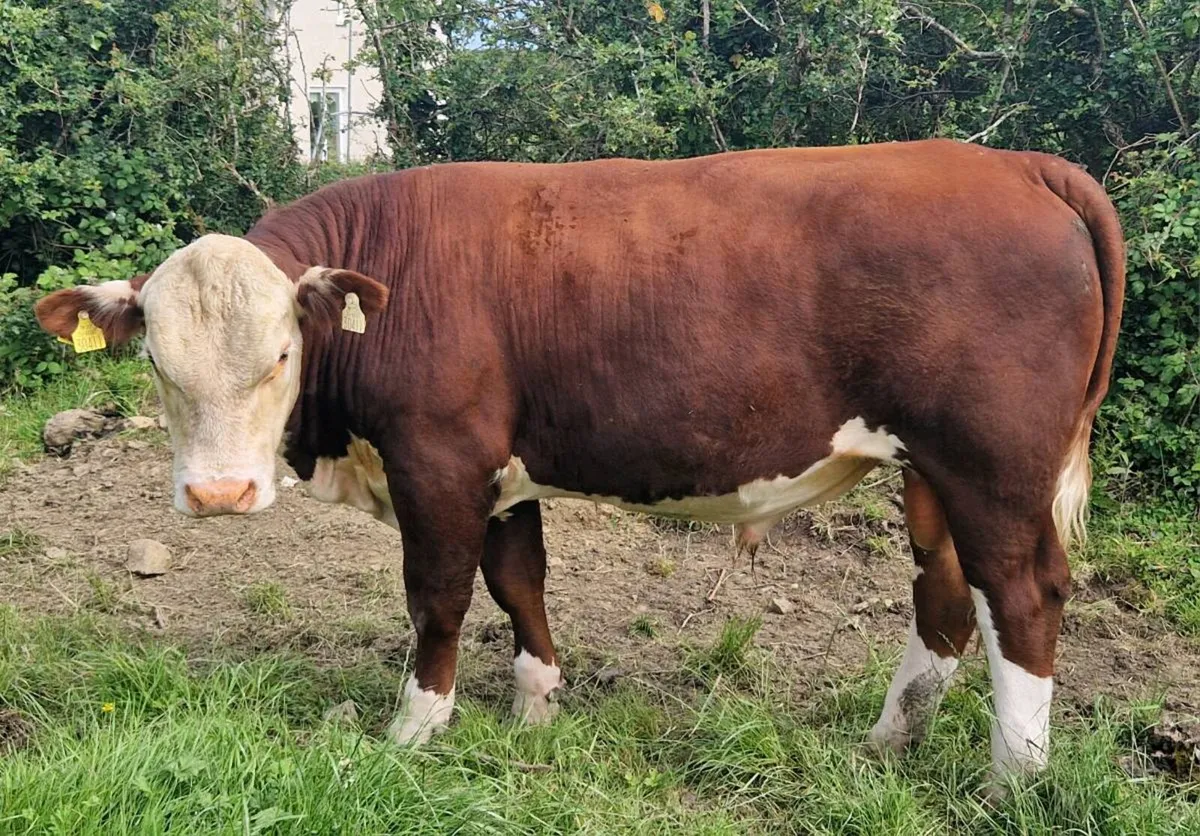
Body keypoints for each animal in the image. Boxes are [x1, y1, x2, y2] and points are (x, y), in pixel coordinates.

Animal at [35, 139, 1124, 794]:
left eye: (280, 354)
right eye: (155, 359)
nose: (219, 493)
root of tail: (1016, 164)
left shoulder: (439, 459)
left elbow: (437, 597)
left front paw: (416, 726)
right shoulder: (498, 469)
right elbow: (519, 581)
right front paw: (534, 707)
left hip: (992, 466)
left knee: (1021, 596)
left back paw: (1015, 777)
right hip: (929, 469)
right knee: (944, 593)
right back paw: (889, 741)